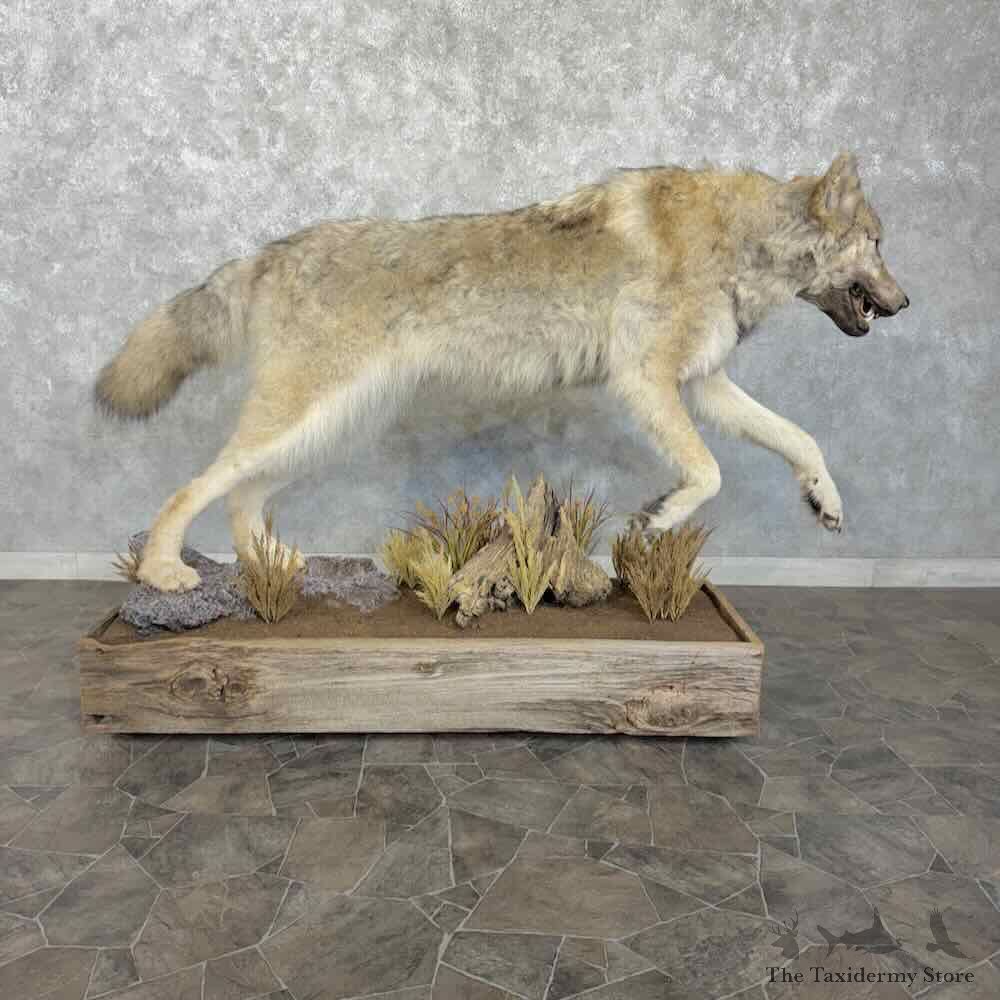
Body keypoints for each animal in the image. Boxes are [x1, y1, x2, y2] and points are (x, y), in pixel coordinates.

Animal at [96, 152, 908, 591]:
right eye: (876, 242)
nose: (905, 304)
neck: (745, 243)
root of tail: (268, 254)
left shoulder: (701, 385)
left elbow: (800, 440)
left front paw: (825, 500)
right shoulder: (647, 381)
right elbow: (707, 475)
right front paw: (657, 516)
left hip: (327, 427)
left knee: (241, 497)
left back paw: (273, 563)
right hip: (307, 418)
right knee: (193, 489)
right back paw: (163, 572)